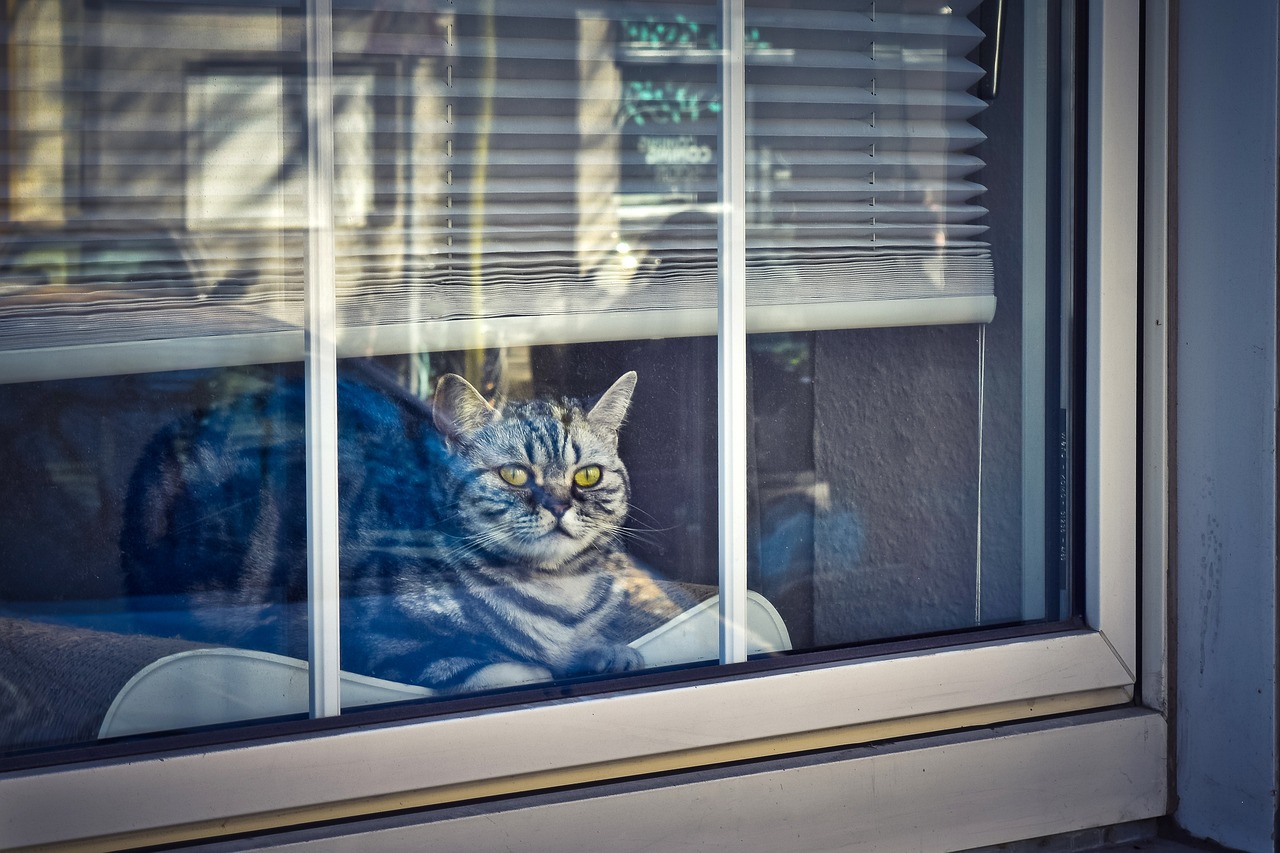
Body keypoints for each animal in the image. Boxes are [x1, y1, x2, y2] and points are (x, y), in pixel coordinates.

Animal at [123, 361, 696, 691]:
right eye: (513, 474)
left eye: (587, 475)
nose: (557, 504)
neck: (556, 592)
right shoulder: (376, 638)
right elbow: (507, 665)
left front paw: (607, 653)